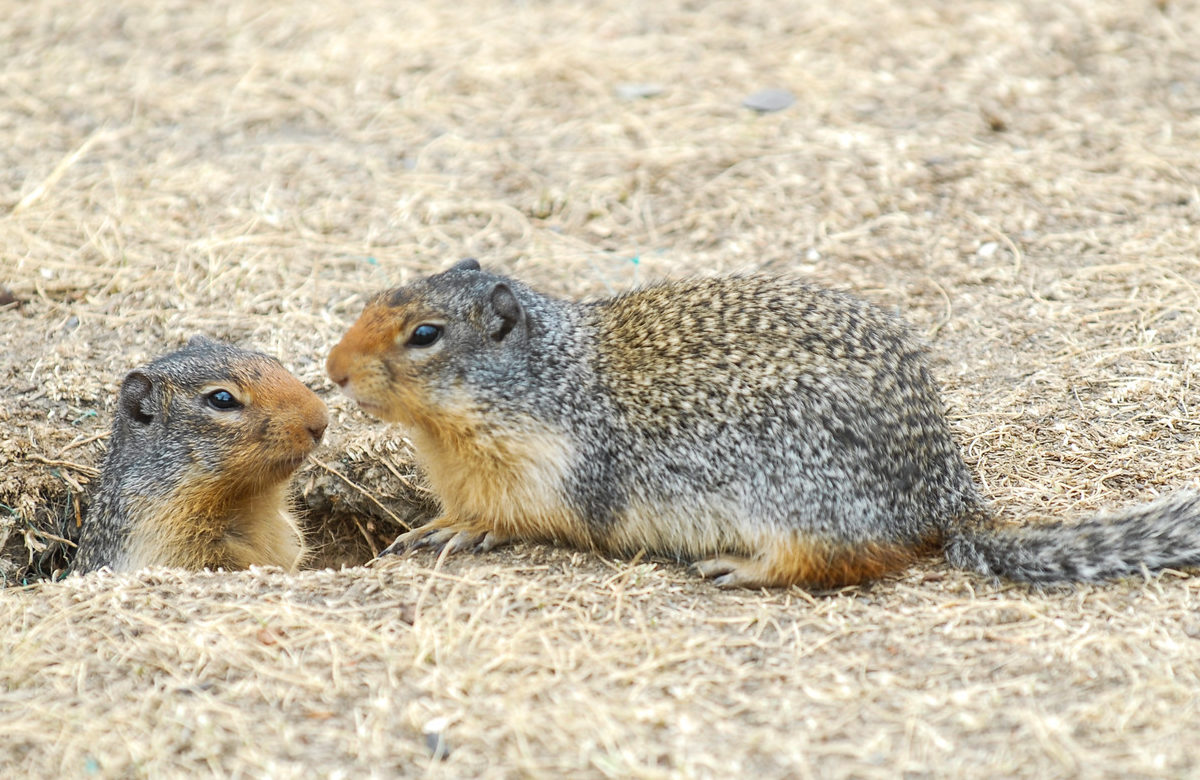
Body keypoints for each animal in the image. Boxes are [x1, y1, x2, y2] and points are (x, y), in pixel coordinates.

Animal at [321, 258, 1200, 585]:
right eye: (378, 297)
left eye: (424, 335)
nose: (331, 370)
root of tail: (945, 494)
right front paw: (434, 523)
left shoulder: (547, 465)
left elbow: (520, 516)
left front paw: (458, 532)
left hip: (798, 499)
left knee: (837, 561)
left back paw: (739, 569)